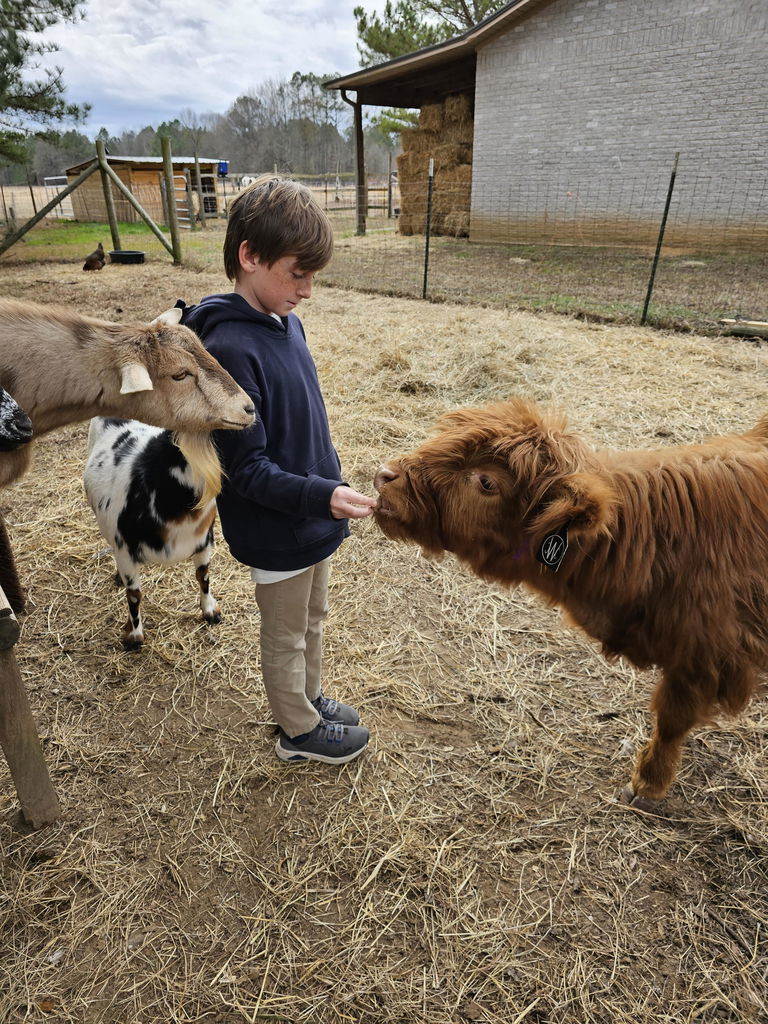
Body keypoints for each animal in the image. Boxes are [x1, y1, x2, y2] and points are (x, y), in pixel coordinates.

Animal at [84, 417, 222, 649]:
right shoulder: (125, 551)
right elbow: (134, 595)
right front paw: (135, 636)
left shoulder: (204, 540)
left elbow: (203, 576)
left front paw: (210, 611)